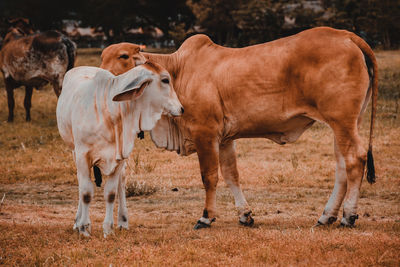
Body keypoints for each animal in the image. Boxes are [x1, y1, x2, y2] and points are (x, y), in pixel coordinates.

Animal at [100, 28, 378, 231]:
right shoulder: (224, 139)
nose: (100, 77)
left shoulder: (205, 133)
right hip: (346, 124)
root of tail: (347, 36)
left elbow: (209, 176)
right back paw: (327, 216)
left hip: (342, 122)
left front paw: (206, 217)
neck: (178, 72)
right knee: (342, 166)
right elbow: (231, 174)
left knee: (355, 160)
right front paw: (245, 215)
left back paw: (348, 216)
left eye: (123, 56)